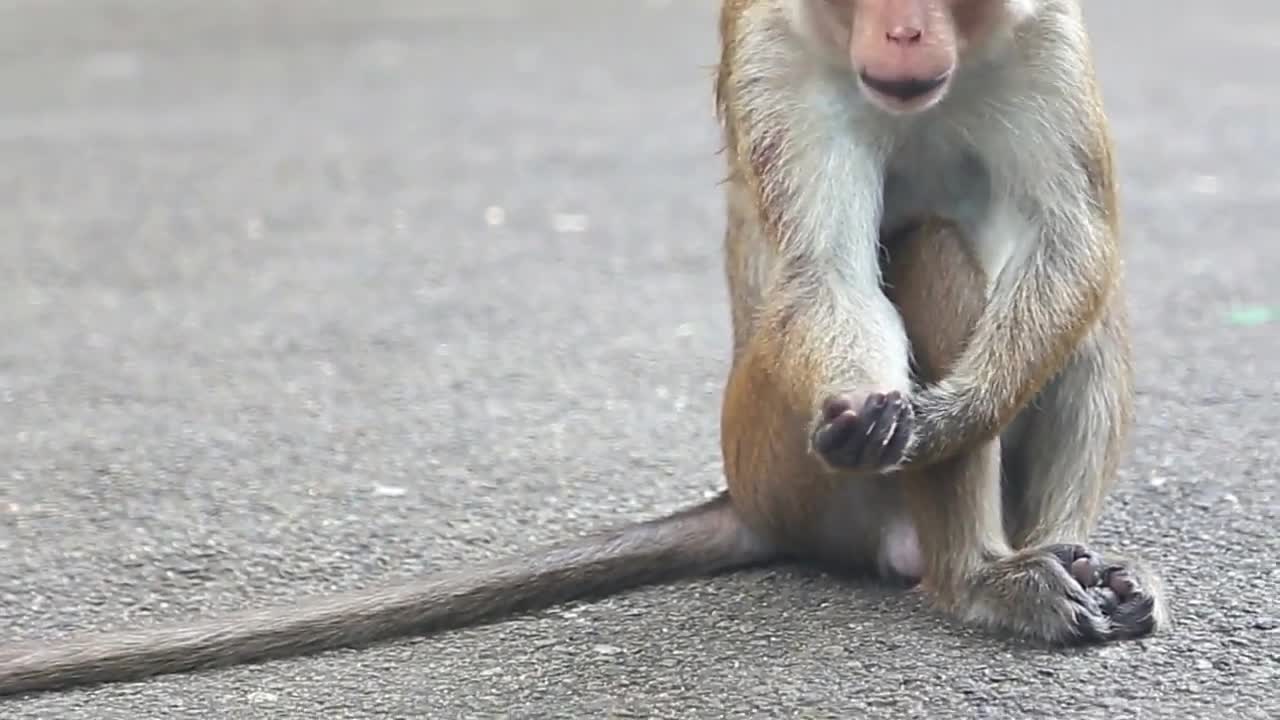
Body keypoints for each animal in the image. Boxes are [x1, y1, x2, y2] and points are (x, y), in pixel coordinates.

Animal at [0, 0, 1172, 696]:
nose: (903, 34)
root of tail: (746, 495)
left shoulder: (1048, 33)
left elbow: (1073, 239)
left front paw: (952, 411)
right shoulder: (773, 54)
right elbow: (823, 271)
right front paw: (903, 414)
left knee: (1084, 306)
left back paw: (1063, 559)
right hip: (787, 460)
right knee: (929, 246)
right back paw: (978, 578)